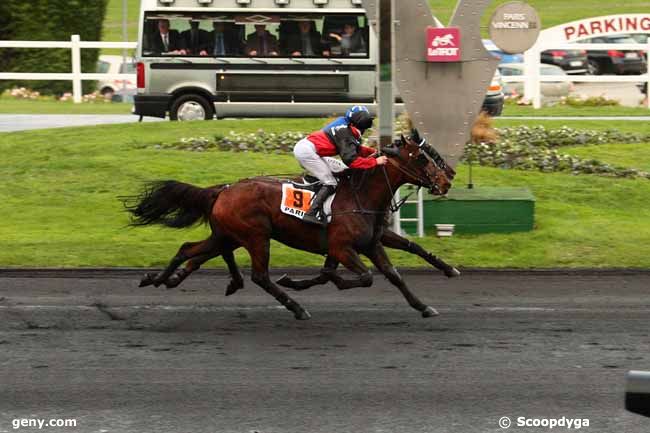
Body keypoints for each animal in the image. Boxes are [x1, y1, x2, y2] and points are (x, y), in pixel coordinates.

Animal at [123, 133, 450, 318]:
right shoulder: (341, 248)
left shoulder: (370, 243)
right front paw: (319, 281)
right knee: (259, 276)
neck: (362, 194)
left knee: (189, 249)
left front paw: (426, 304)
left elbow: (395, 274)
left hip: (228, 236)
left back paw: (158, 278)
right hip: (256, 237)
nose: (447, 180)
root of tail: (223, 189)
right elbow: (364, 277)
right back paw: (296, 307)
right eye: (422, 158)